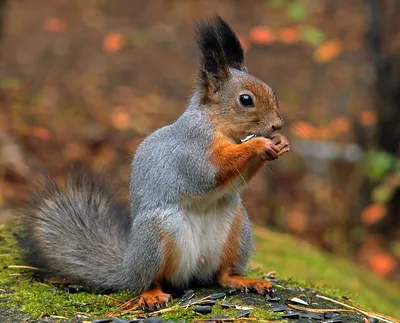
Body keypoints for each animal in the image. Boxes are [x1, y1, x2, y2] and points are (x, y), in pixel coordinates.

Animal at [20, 16, 290, 312]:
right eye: (246, 100)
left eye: (271, 90)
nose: (278, 125)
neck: (219, 126)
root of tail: (127, 267)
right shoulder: (192, 151)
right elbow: (212, 172)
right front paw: (259, 144)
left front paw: (281, 143)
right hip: (158, 235)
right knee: (150, 279)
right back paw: (151, 295)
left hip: (238, 228)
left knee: (222, 275)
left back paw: (245, 281)